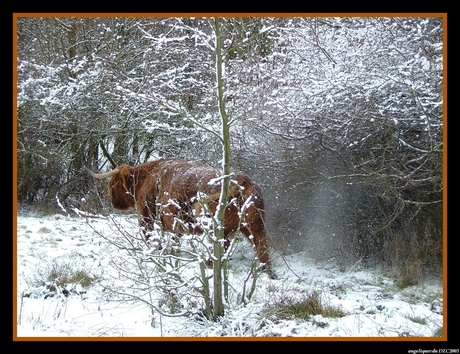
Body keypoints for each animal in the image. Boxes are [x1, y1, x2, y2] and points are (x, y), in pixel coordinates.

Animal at [85, 158, 274, 276]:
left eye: (112, 184)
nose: (113, 203)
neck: (146, 178)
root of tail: (242, 181)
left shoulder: (148, 218)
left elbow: (151, 238)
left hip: (217, 227)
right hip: (256, 227)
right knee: (262, 249)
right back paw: (267, 273)